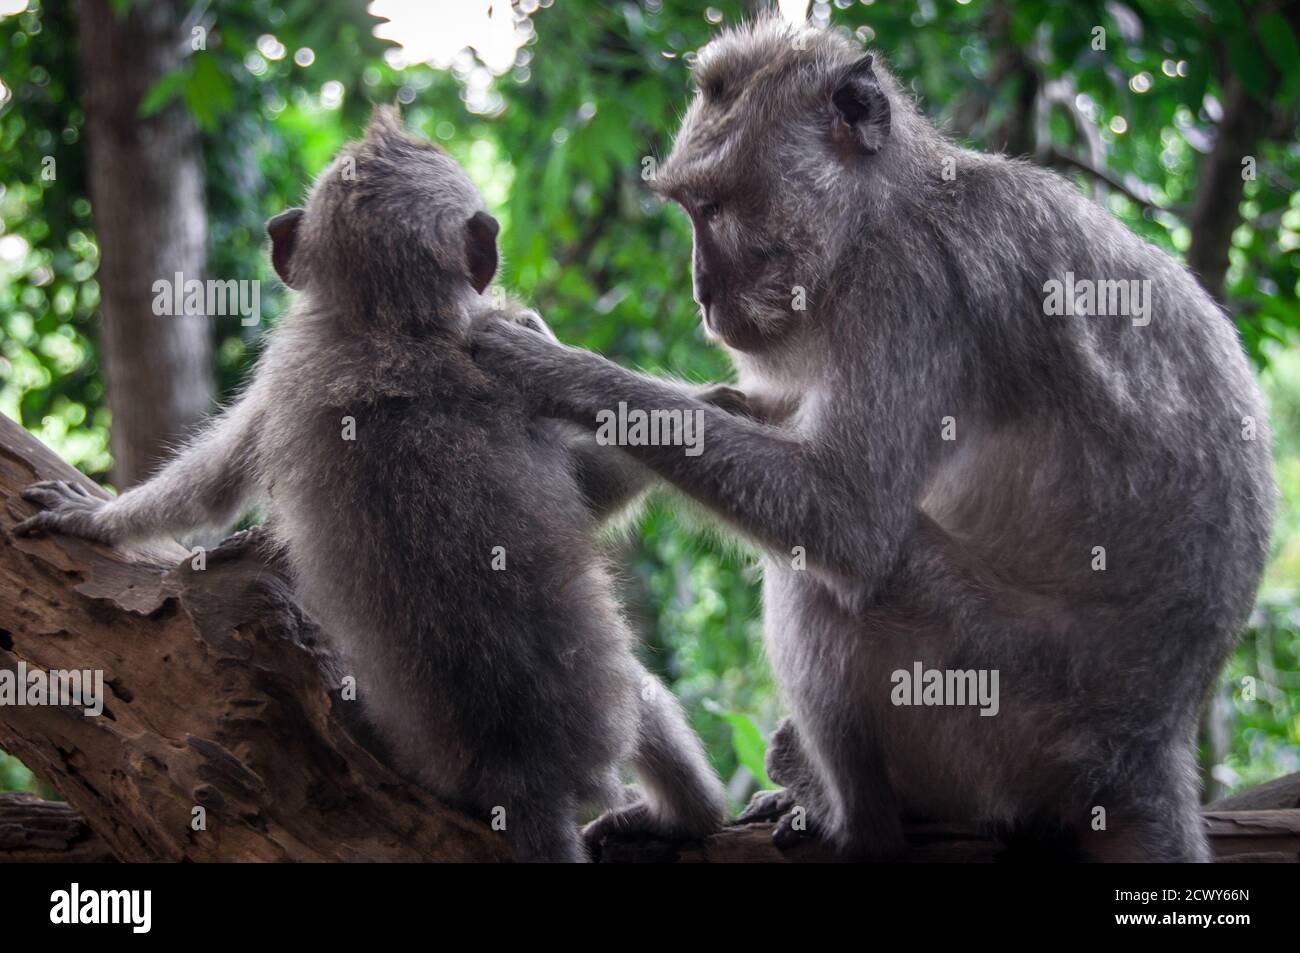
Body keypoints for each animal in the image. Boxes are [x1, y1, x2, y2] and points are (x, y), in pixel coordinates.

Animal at [20, 105, 728, 863]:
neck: (394, 321)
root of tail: (525, 775)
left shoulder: (307, 364)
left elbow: (211, 486)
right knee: (642, 692)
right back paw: (690, 815)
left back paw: (689, 816)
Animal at [470, 16, 1279, 863]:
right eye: (691, 208)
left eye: (715, 210)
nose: (701, 293)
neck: (884, 207)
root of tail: (1152, 750)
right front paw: (701, 398)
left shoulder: (908, 286)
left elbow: (846, 517)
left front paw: (553, 369)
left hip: (1007, 713)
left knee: (832, 579)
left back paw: (854, 819)